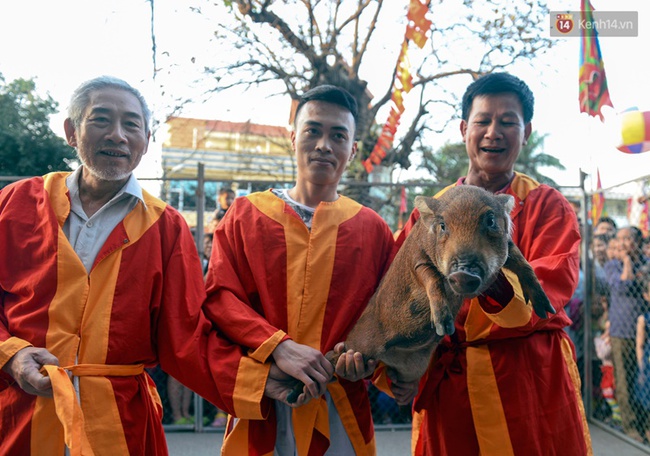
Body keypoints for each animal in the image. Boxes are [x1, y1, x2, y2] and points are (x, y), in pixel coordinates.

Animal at [284, 183, 552, 400]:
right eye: (443, 226)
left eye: (490, 221)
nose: (463, 272)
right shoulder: (418, 260)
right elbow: (432, 278)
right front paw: (443, 326)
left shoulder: (509, 247)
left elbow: (524, 264)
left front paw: (545, 310)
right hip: (358, 344)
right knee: (333, 358)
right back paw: (294, 395)